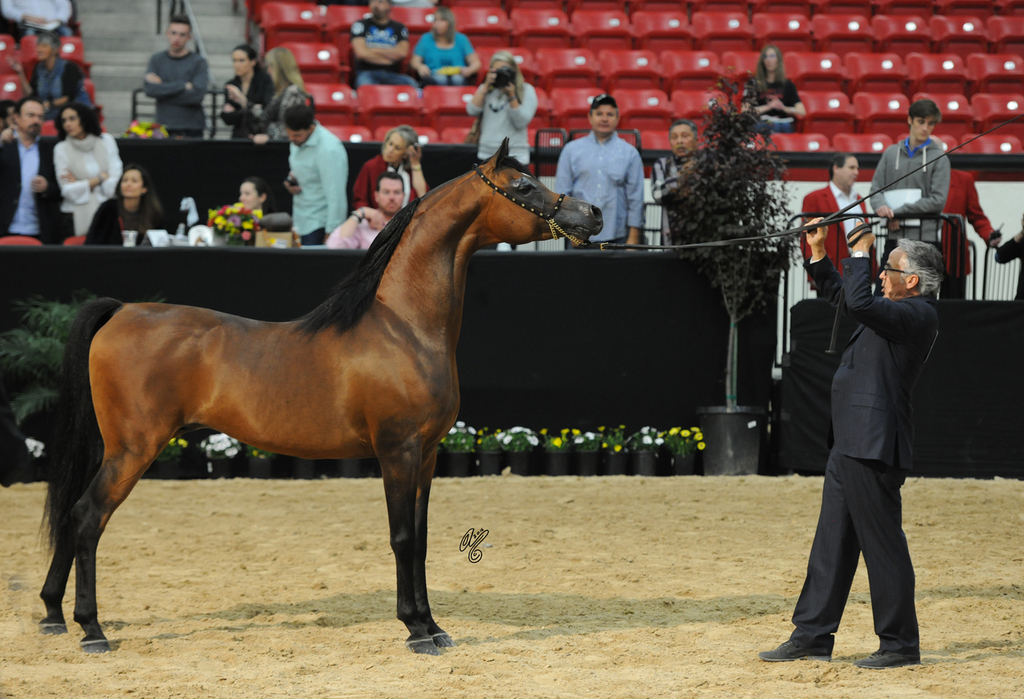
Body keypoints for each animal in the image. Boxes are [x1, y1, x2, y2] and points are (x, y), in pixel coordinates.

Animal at [39, 139, 603, 656]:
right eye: (524, 186)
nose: (592, 214)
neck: (403, 327)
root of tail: (122, 310)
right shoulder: (397, 451)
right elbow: (401, 537)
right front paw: (415, 630)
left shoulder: (427, 454)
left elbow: (420, 540)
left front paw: (434, 626)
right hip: (133, 449)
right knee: (88, 517)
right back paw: (92, 630)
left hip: (112, 448)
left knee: (71, 516)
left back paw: (53, 615)